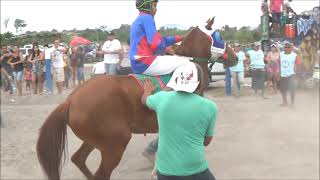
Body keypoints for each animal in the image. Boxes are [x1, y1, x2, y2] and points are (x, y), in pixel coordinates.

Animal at [37, 17, 238, 180]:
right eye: (220, 36)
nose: (235, 57)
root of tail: (71, 100)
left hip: (93, 141)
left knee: (78, 159)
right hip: (115, 144)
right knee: (101, 174)